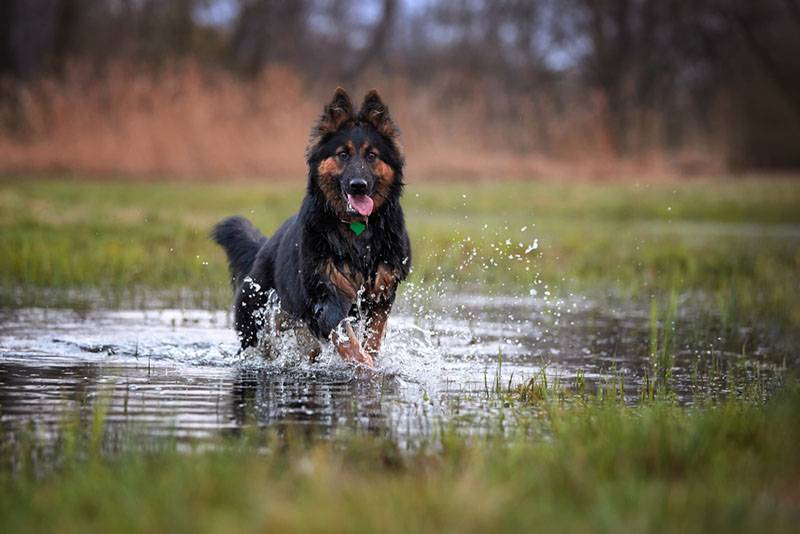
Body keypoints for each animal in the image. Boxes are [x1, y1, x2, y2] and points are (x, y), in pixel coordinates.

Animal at [211, 88, 412, 368]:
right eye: (343, 154)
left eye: (371, 156)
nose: (358, 185)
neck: (355, 228)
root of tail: (264, 247)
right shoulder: (326, 294)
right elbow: (346, 338)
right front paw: (362, 364)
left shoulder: (380, 296)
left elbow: (372, 337)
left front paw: (369, 362)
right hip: (253, 318)